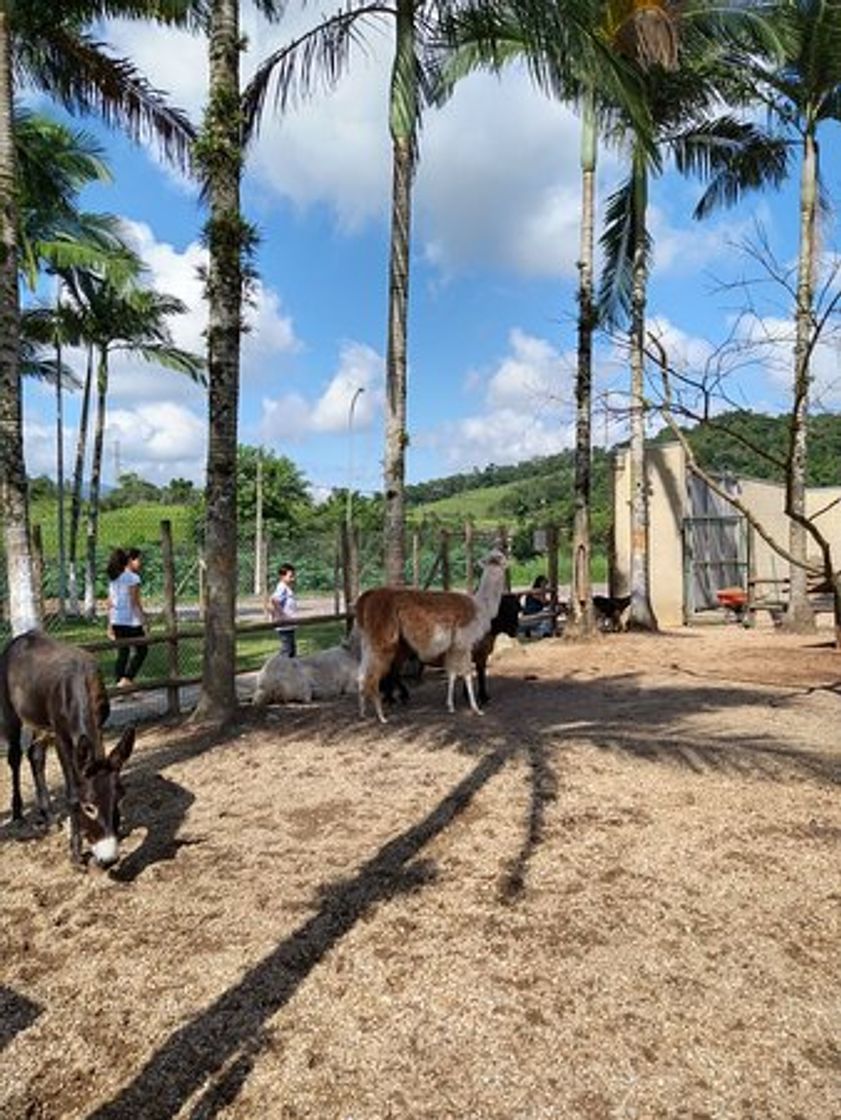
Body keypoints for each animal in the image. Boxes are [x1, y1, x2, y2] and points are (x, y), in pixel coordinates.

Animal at [1, 631, 134, 864]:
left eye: (119, 798)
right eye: (88, 807)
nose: (108, 859)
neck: (81, 683)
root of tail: (20, 639)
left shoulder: (98, 725)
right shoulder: (61, 736)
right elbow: (71, 791)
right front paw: (75, 852)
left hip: (41, 721)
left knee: (35, 755)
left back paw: (49, 816)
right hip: (11, 711)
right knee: (15, 756)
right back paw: (17, 813)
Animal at [353, 546, 506, 721]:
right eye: (496, 557)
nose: (502, 561)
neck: (481, 607)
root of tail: (366, 598)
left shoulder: (454, 645)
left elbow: (452, 674)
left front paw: (451, 706)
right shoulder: (464, 642)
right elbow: (467, 674)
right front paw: (476, 709)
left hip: (368, 638)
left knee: (361, 674)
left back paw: (363, 713)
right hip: (384, 636)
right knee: (373, 677)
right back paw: (382, 717)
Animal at [380, 591, 524, 703]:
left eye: (517, 609)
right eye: (506, 610)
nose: (515, 630)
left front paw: (468, 695)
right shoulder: (479, 655)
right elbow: (481, 675)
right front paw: (483, 697)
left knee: (393, 673)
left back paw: (394, 696)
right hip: (399, 651)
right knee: (392, 673)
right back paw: (394, 697)